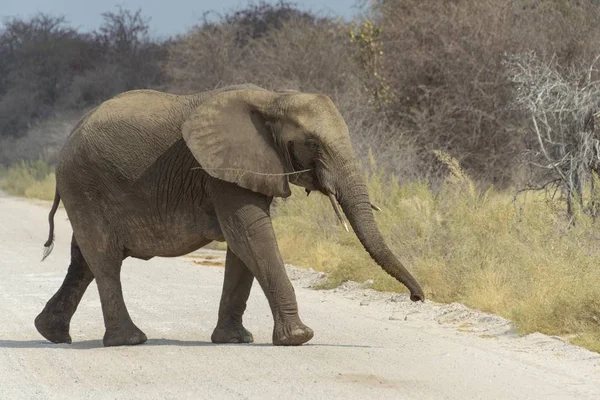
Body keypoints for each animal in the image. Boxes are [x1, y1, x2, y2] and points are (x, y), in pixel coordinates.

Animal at [35, 83, 424, 346]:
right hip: (85, 183)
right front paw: (299, 337)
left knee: (83, 260)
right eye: (313, 144)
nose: (417, 299)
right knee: (104, 259)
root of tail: (69, 137)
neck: (273, 99)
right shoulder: (221, 170)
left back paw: (51, 333)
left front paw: (235, 339)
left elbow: (243, 246)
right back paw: (129, 340)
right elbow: (250, 233)